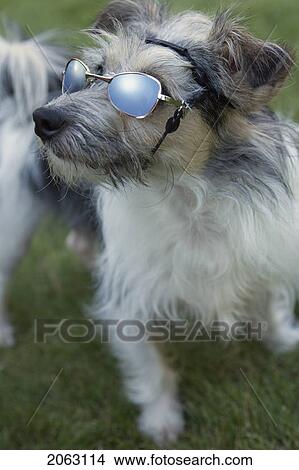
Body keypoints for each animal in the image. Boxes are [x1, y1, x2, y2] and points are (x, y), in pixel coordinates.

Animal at [33, 0, 299, 444]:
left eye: (146, 90)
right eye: (89, 73)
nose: (43, 119)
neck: (186, 195)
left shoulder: (261, 249)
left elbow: (270, 300)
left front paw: (283, 341)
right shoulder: (131, 296)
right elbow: (151, 367)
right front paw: (162, 420)